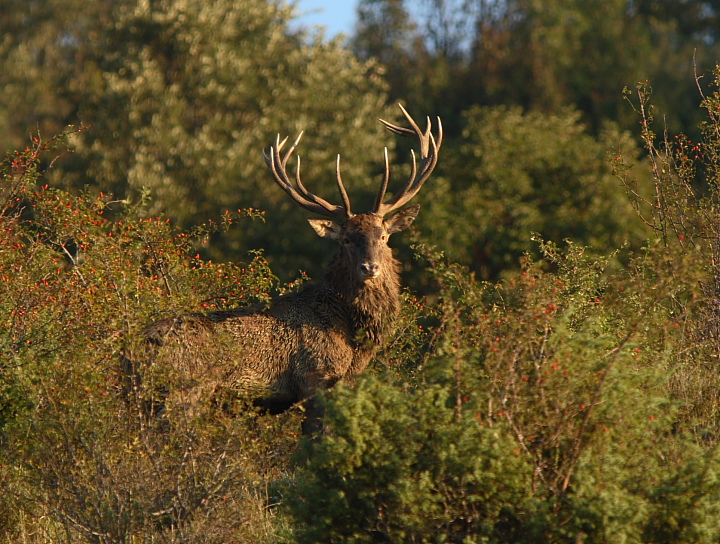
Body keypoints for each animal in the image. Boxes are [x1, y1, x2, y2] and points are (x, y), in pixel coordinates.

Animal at [136, 104, 442, 436]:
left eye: (384, 236)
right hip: (186, 389)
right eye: (347, 239)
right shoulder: (315, 376)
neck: (351, 337)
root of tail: (140, 346)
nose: (369, 267)